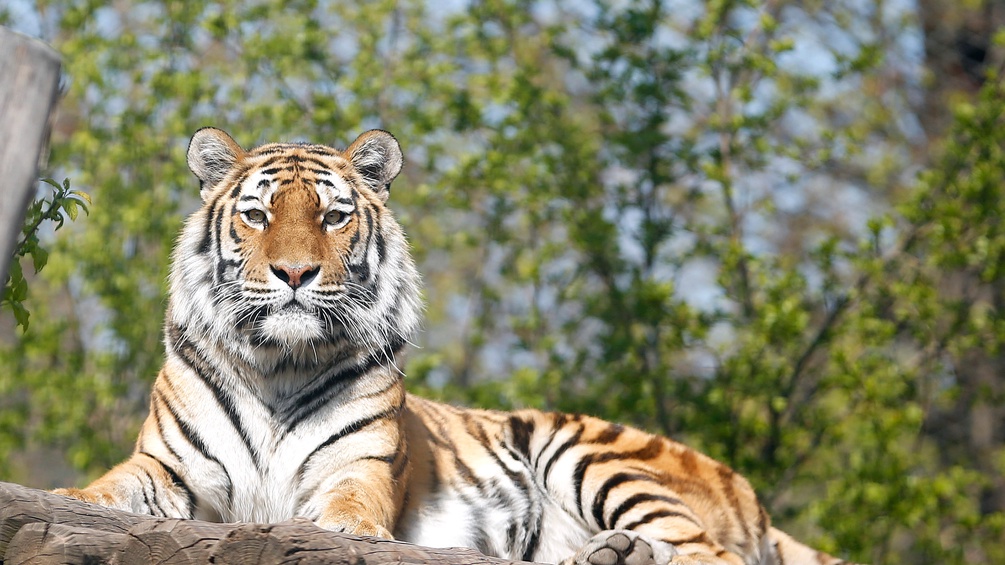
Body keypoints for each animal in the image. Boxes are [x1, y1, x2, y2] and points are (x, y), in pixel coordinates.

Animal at [53, 127, 856, 562]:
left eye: (334, 216)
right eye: (256, 215)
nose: (294, 272)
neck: (278, 362)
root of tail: (752, 494)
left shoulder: (357, 467)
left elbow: (344, 508)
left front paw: (336, 530)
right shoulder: (171, 467)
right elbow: (111, 488)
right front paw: (66, 497)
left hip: (586, 451)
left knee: (705, 552)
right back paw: (609, 554)